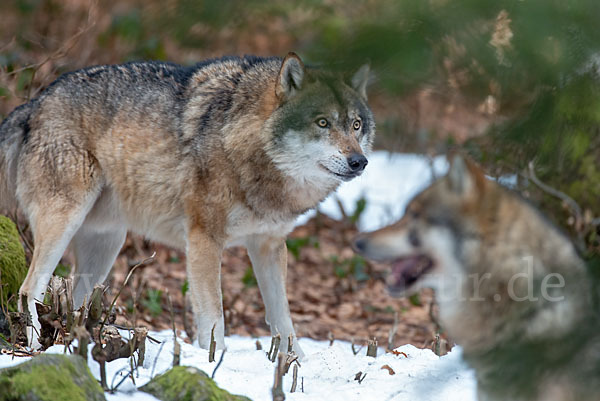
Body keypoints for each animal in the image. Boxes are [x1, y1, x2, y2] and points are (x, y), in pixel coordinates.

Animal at [1, 51, 376, 354]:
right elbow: (214, 318)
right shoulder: (203, 239)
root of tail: (37, 101)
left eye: (356, 125)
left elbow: (284, 321)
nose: (360, 162)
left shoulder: (268, 245)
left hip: (107, 244)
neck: (245, 146)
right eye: (323, 123)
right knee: (29, 288)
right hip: (66, 223)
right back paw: (35, 347)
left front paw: (295, 366)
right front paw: (216, 363)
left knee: (76, 302)